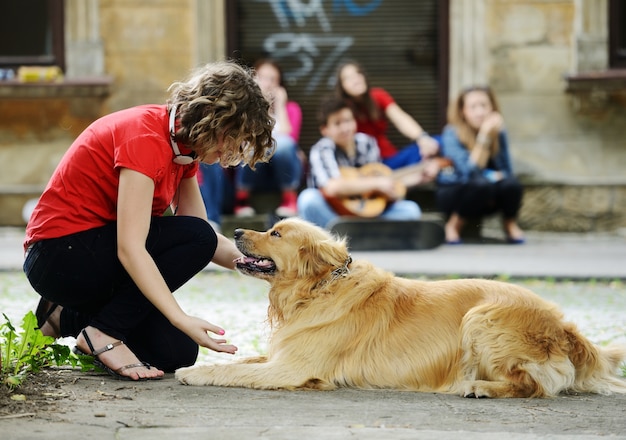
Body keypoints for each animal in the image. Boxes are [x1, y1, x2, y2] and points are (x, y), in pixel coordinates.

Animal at [174, 218, 624, 398]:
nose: (234, 230)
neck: (318, 288)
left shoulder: (291, 368)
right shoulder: (279, 356)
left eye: (276, 233)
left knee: (533, 385)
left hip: (481, 317)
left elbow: (233, 371)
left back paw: (480, 387)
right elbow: (241, 361)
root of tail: (566, 327)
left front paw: (191, 372)